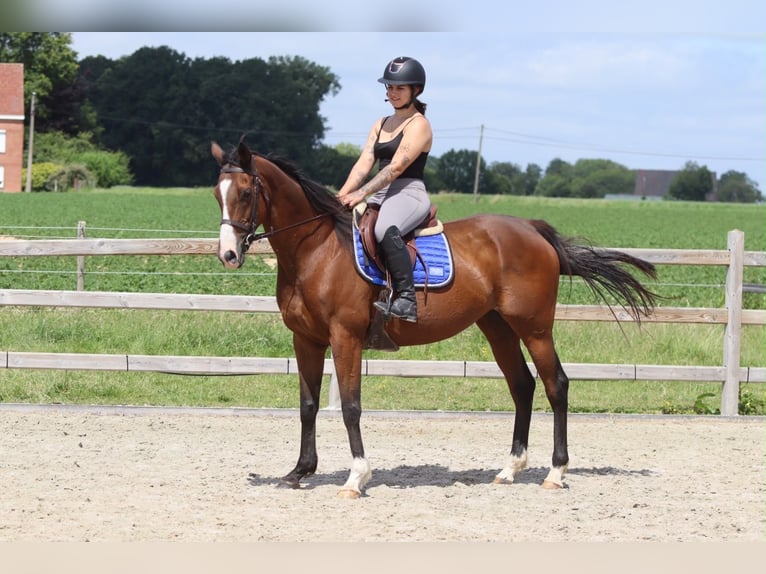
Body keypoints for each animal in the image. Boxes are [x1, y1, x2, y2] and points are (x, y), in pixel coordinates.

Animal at [211, 140, 659, 498]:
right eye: (218, 194)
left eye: (247, 192)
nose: (228, 255)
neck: (317, 249)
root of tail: (532, 229)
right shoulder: (305, 339)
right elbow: (307, 405)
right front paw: (299, 472)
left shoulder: (345, 337)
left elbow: (351, 407)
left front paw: (356, 478)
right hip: (497, 327)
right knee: (522, 386)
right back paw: (509, 469)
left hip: (534, 328)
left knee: (556, 385)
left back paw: (555, 472)